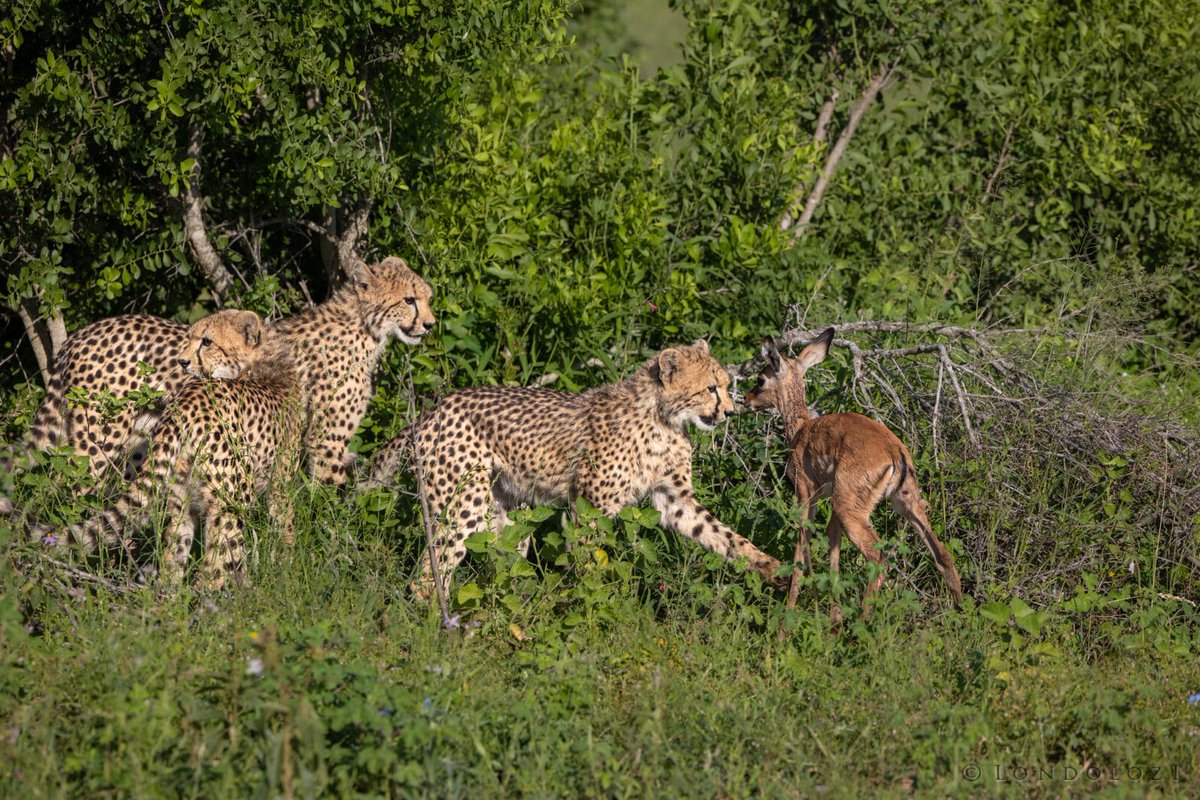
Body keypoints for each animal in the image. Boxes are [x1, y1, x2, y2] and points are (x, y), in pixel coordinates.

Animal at [367, 339, 786, 600]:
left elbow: (722, 535)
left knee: (504, 560)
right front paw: (585, 612)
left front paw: (771, 567)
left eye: (725, 386)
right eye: (710, 389)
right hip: (463, 501)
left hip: (507, 511)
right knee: (433, 566)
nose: (730, 412)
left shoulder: (674, 500)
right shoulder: (589, 508)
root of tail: (433, 409)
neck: (663, 418)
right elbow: (587, 565)